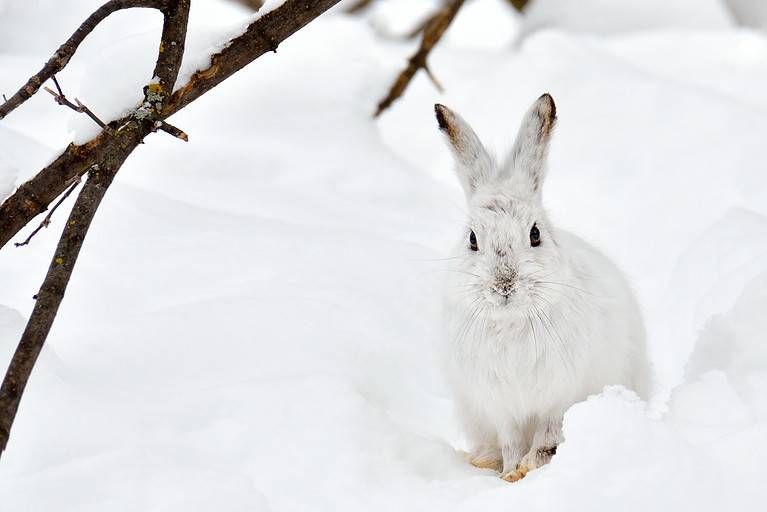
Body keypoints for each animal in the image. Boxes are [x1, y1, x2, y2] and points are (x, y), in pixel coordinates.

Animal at [435, 94, 650, 482]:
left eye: (535, 233)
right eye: (472, 239)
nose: (504, 284)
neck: (511, 322)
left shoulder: (557, 398)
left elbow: (546, 438)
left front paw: (528, 469)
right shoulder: (499, 405)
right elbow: (510, 441)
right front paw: (509, 474)